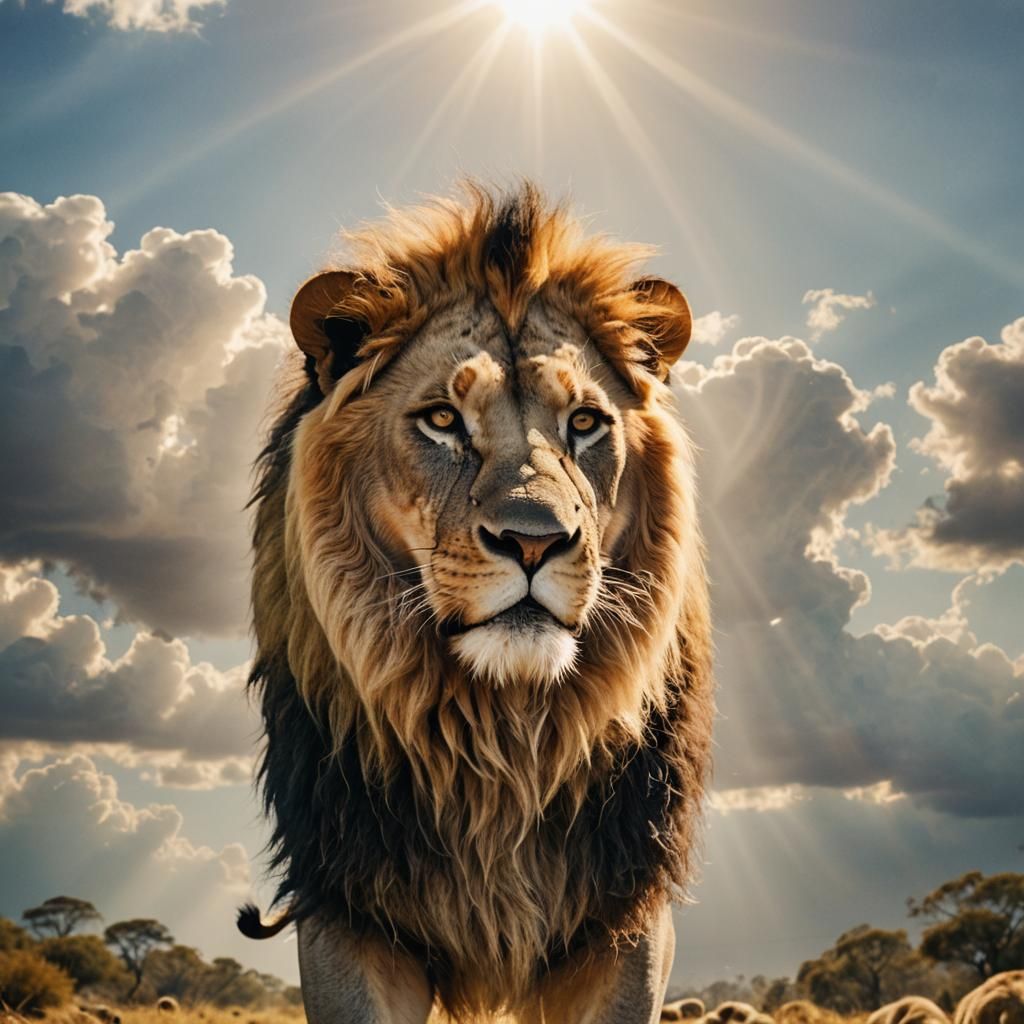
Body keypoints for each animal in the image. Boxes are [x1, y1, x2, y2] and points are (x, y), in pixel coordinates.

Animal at [239, 182, 714, 1023]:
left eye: (584, 422)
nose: (534, 540)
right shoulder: (348, 909)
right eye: (441, 419)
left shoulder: (625, 915)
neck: (502, 739)